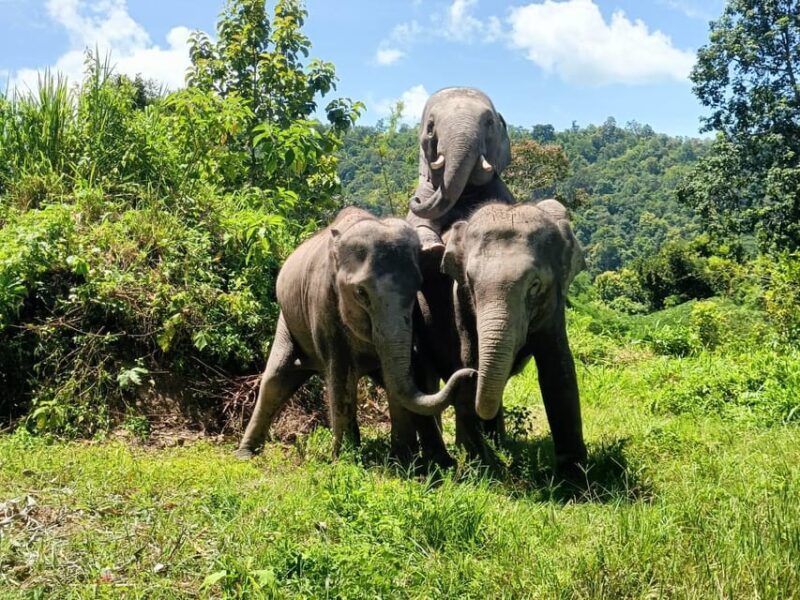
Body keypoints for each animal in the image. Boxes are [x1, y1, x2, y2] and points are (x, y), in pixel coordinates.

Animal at [236, 207, 475, 462]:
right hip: (287, 321)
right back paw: (244, 454)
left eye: (416, 288)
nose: (470, 373)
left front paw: (403, 459)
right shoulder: (323, 307)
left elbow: (402, 375)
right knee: (275, 380)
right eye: (361, 292)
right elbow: (341, 375)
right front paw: (345, 459)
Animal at [406, 87, 515, 248]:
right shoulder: (427, 189)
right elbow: (416, 223)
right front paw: (433, 249)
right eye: (430, 126)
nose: (416, 199)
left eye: (489, 122)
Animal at [413, 200, 588, 476]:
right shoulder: (459, 300)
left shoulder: (554, 304)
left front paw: (574, 478)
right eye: (469, 280)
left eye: (534, 285)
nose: (469, 375)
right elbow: (470, 358)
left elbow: (558, 370)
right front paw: (481, 469)